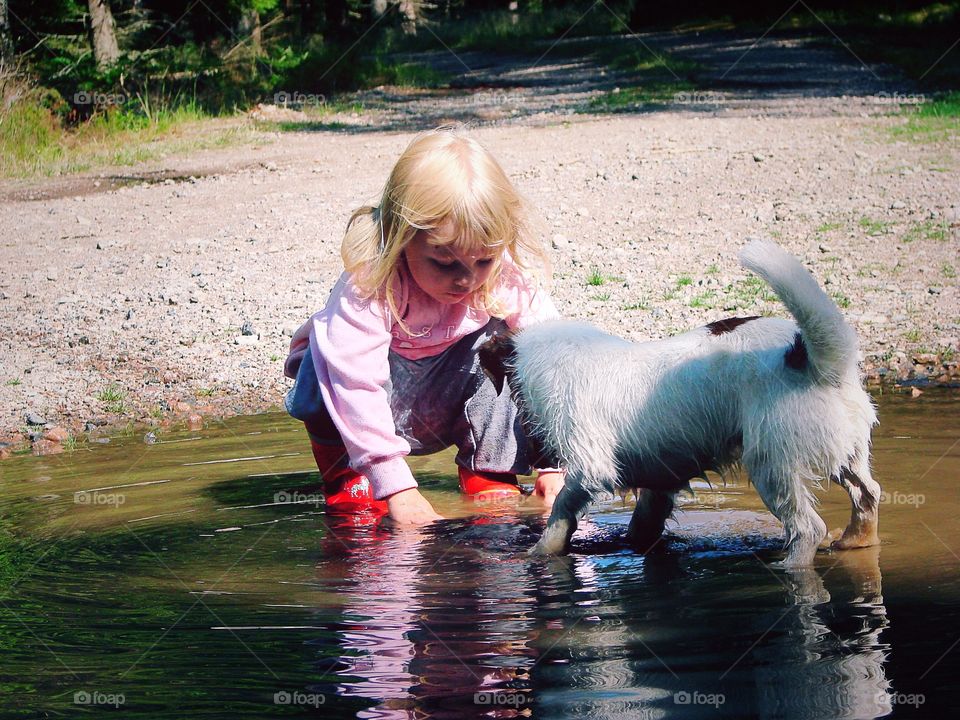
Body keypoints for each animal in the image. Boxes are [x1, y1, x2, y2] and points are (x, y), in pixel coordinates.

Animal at [484, 239, 880, 564]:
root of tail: (813, 361)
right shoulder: (661, 480)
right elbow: (643, 525)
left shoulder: (589, 467)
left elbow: (560, 511)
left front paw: (542, 551)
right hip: (848, 454)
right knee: (868, 495)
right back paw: (853, 541)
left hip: (772, 465)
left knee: (807, 528)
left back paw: (791, 565)